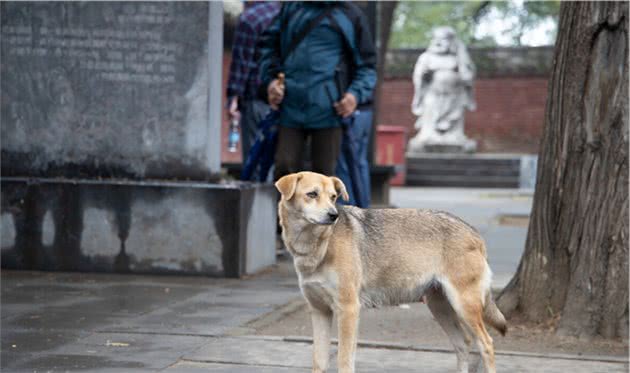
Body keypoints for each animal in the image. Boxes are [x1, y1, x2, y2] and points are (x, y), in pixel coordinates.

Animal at [276, 171, 508, 372]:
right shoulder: (319, 312)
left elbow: (344, 361)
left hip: (463, 307)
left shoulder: (348, 310)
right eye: (312, 194)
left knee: (486, 344)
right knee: (463, 344)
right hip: (440, 307)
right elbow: (319, 362)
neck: (314, 247)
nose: (333, 215)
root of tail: (474, 232)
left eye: (333, 197)